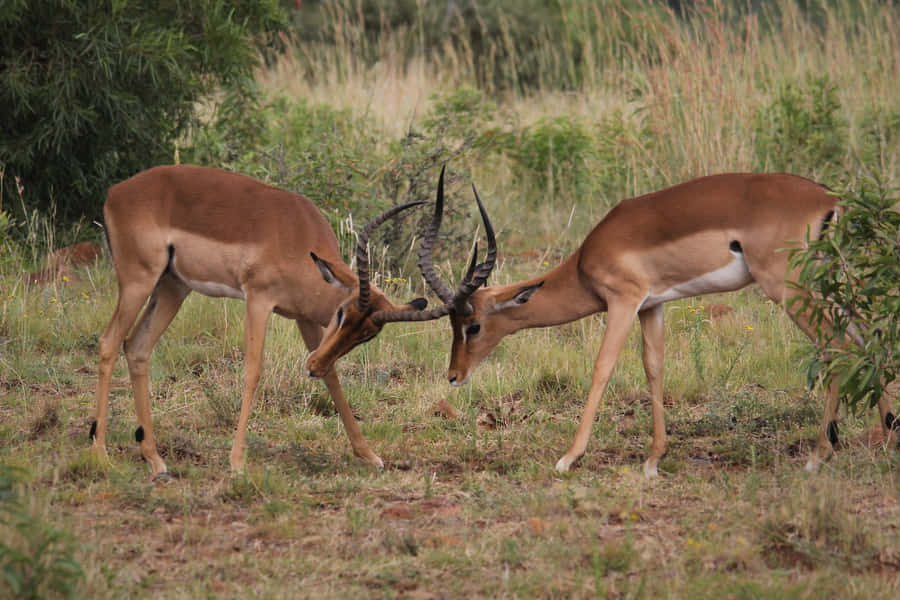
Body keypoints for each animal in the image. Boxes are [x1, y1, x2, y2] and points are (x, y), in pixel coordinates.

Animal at [92, 164, 429, 478]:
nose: (312, 368)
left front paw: (370, 455)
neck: (298, 236)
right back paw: (101, 454)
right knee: (108, 342)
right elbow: (253, 372)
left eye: (367, 335)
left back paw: (155, 459)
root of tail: (115, 193)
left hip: (173, 287)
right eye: (342, 313)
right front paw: (237, 462)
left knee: (137, 347)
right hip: (139, 281)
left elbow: (333, 377)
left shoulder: (304, 318)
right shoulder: (258, 301)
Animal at [310, 168, 898, 477]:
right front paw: (654, 461)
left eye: (471, 325)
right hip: (822, 284)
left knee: (836, 347)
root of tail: (830, 201)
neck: (588, 259)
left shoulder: (623, 301)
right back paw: (886, 435)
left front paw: (568, 458)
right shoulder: (653, 306)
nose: (454, 377)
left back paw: (820, 455)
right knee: (861, 335)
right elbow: (654, 369)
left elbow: (603, 368)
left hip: (788, 289)